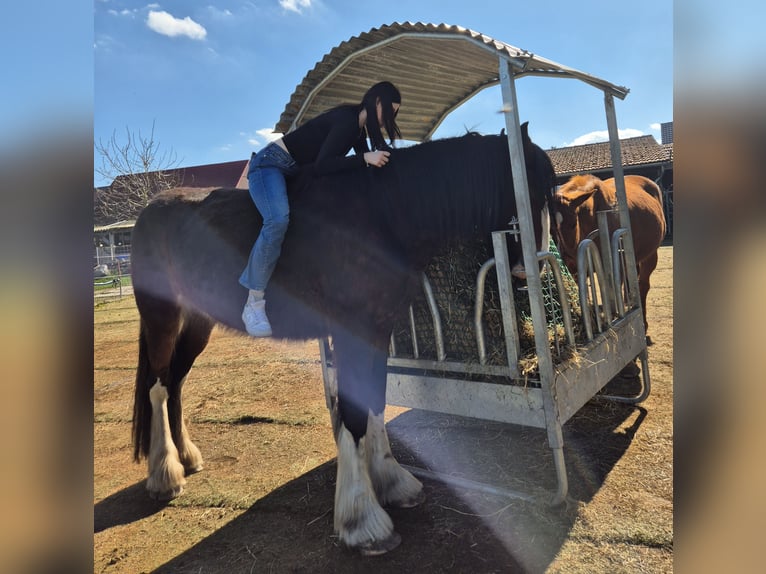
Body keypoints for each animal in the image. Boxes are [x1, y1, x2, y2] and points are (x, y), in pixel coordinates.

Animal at [129, 123, 556, 555]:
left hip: (198, 321)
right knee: (158, 386)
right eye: (532, 187)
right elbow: (352, 414)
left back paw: (186, 457)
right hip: (162, 316)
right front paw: (363, 521)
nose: (532, 269)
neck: (382, 213)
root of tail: (149, 211)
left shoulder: (377, 330)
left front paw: (392, 482)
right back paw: (165, 474)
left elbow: (374, 402)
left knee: (176, 382)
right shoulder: (353, 331)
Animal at [551, 174, 666, 341]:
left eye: (573, 224)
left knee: (643, 285)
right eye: (550, 228)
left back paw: (643, 324)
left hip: (650, 255)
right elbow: (584, 295)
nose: (567, 258)